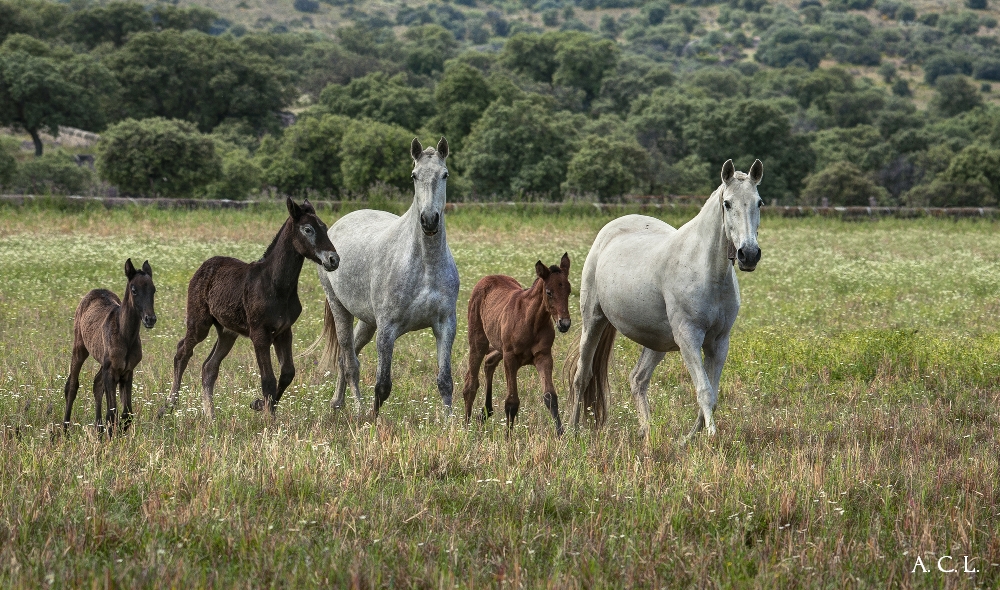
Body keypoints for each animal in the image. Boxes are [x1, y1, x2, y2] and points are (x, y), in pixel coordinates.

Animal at [63, 260, 156, 440]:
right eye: (134, 290)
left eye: (154, 289)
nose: (150, 319)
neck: (125, 335)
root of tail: (96, 290)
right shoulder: (110, 370)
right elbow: (112, 413)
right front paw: (111, 439)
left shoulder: (127, 372)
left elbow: (127, 414)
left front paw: (116, 434)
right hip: (80, 347)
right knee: (72, 385)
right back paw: (64, 431)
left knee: (96, 384)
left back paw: (98, 431)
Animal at [161, 199, 340, 420]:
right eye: (308, 229)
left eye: (324, 227)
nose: (333, 259)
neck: (276, 285)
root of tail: (204, 265)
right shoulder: (259, 334)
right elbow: (268, 379)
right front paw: (270, 419)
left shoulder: (284, 331)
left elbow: (288, 373)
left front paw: (259, 404)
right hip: (199, 323)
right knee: (182, 352)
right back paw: (168, 406)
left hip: (227, 332)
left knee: (209, 367)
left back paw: (210, 416)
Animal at [316, 137, 460, 418]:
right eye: (414, 176)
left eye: (445, 174)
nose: (429, 220)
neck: (425, 265)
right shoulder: (387, 329)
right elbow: (382, 386)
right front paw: (373, 421)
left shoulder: (446, 325)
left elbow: (445, 381)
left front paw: (452, 423)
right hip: (340, 308)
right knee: (349, 361)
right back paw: (358, 409)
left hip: (367, 321)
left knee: (347, 355)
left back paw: (337, 403)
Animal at [460, 254, 572, 434]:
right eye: (549, 292)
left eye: (569, 290)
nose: (564, 324)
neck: (531, 320)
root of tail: (488, 278)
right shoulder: (510, 357)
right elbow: (512, 402)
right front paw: (508, 437)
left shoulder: (544, 356)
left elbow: (550, 396)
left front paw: (561, 434)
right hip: (478, 341)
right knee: (470, 383)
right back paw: (466, 426)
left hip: (499, 344)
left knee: (489, 362)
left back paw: (485, 412)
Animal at [572, 160, 764, 442]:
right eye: (727, 203)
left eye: (759, 202)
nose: (748, 254)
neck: (706, 270)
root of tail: (609, 230)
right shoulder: (688, 338)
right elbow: (704, 391)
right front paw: (711, 437)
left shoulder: (719, 342)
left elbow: (713, 393)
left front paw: (689, 439)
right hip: (593, 321)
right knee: (582, 376)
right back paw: (569, 430)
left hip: (656, 341)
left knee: (638, 380)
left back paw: (647, 432)